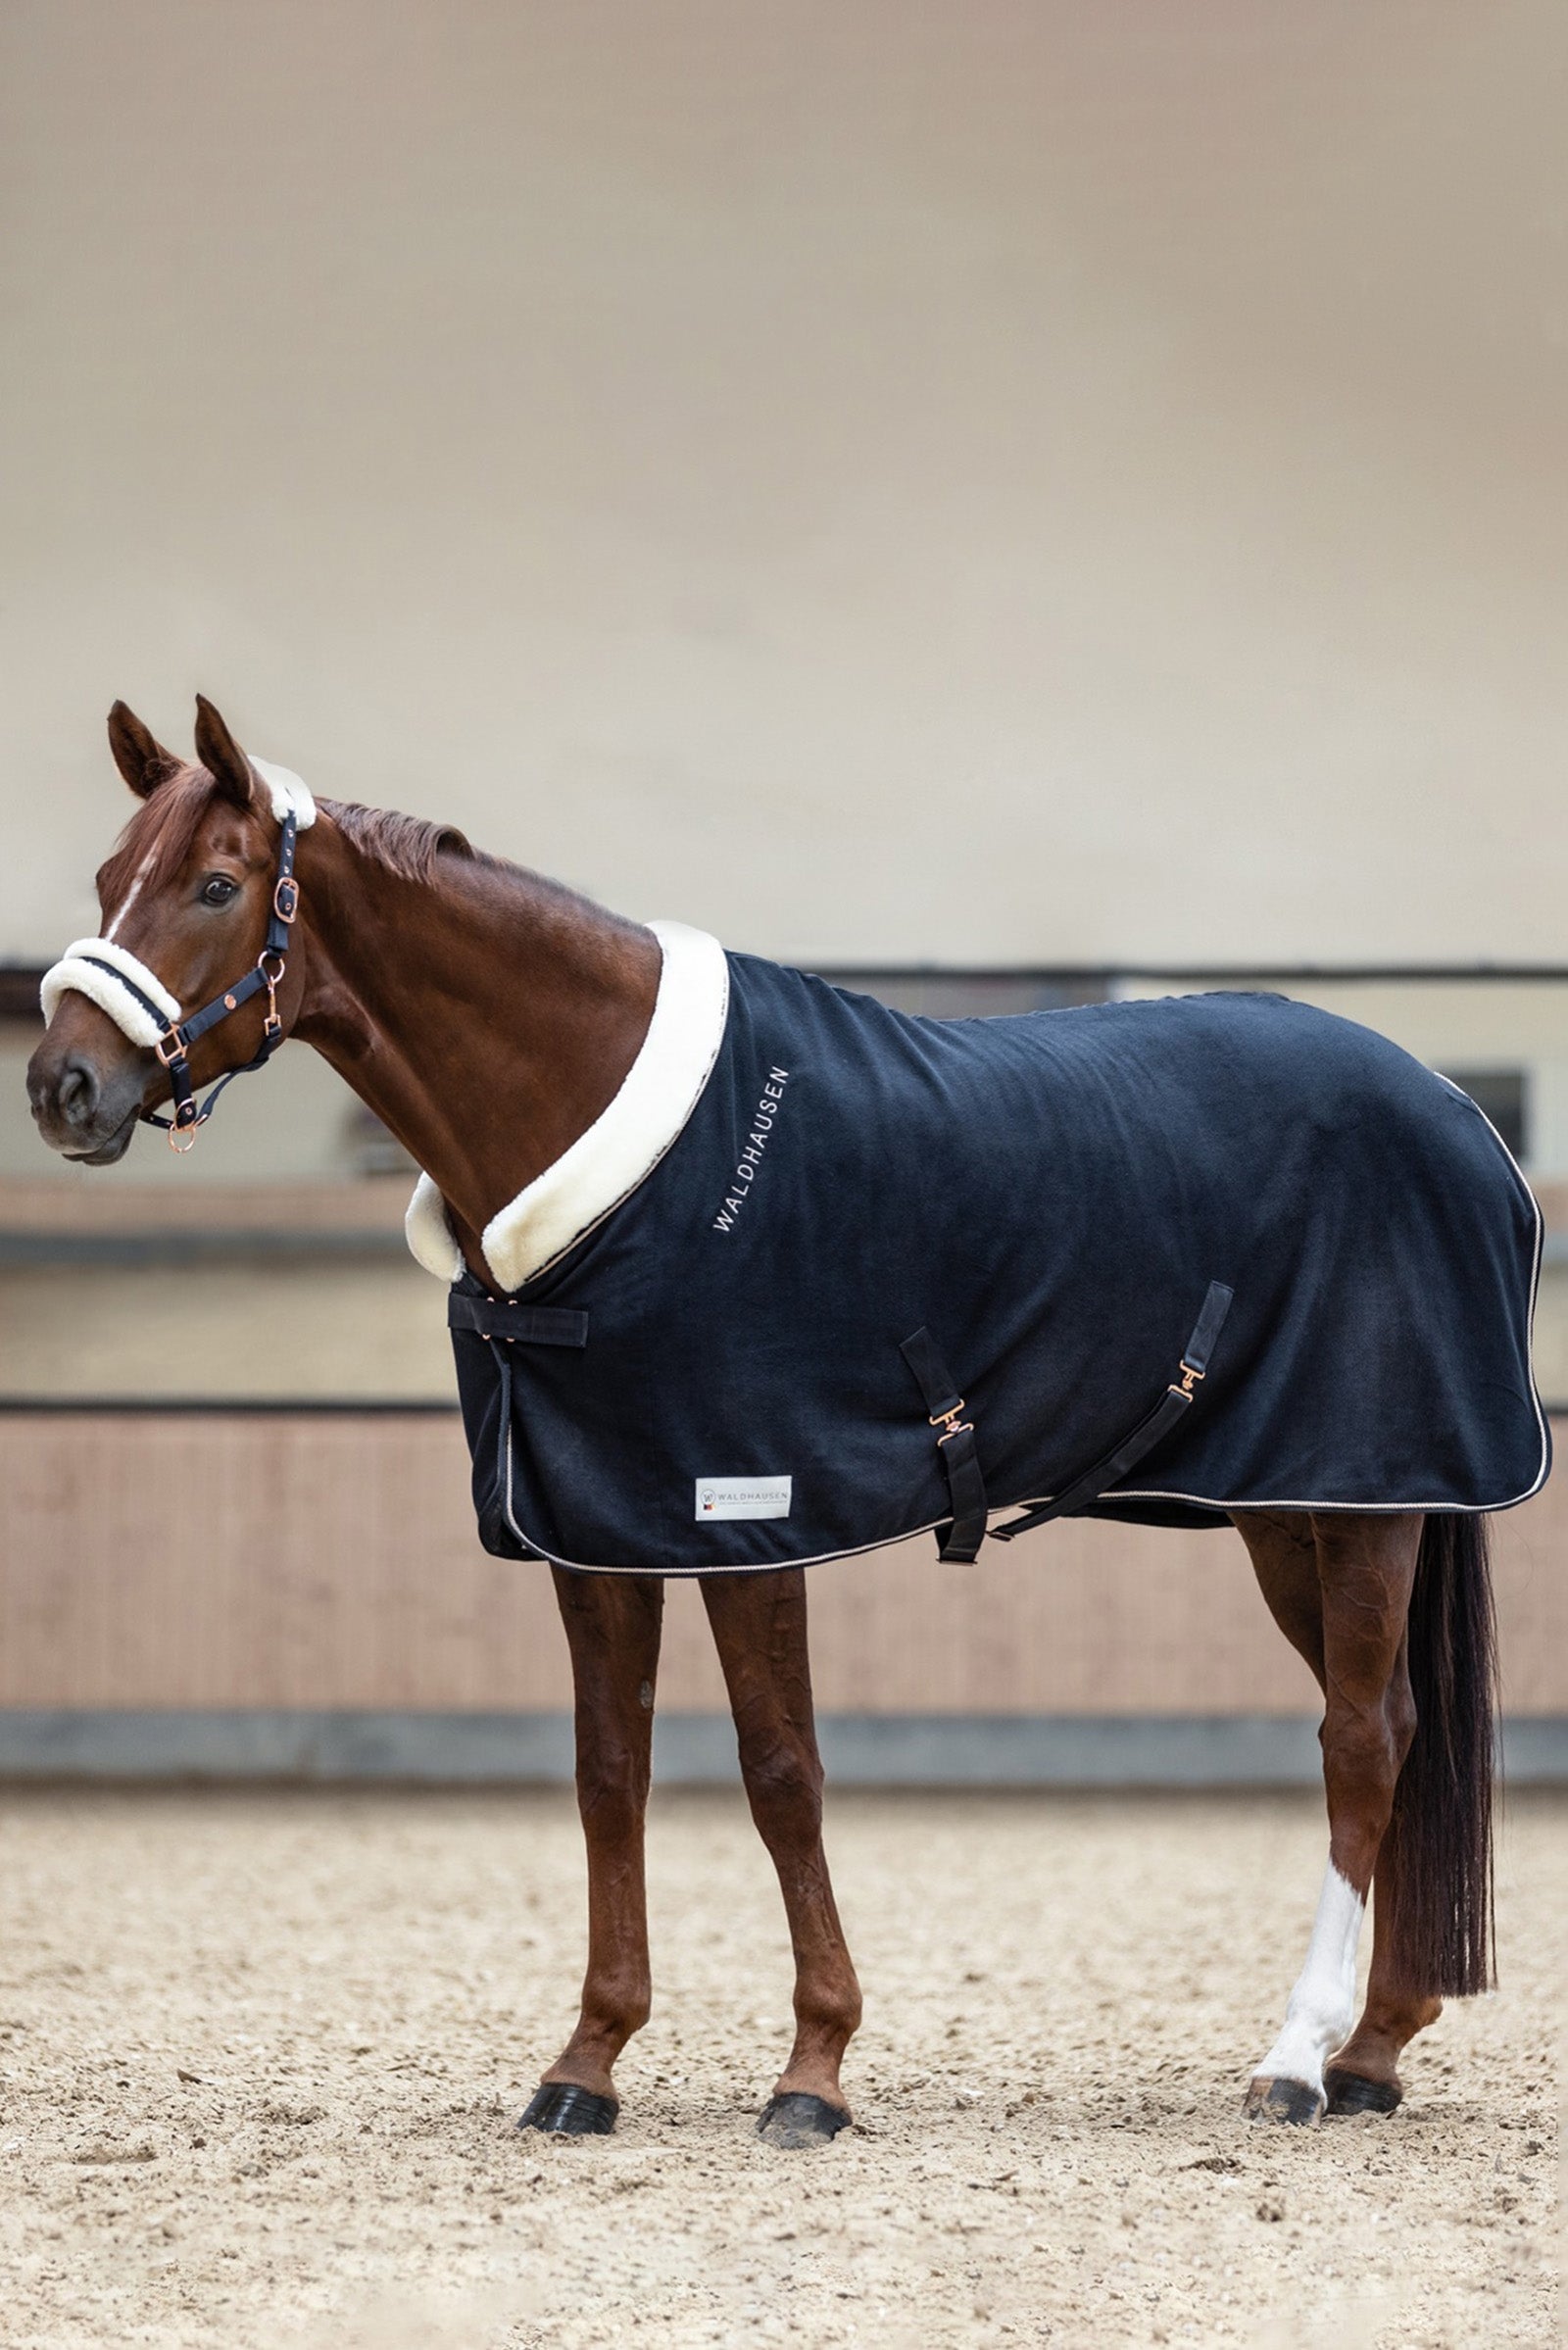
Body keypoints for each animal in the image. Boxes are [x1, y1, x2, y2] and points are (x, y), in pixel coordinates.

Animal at [27, 695, 1538, 2149]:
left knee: (1359, 1738)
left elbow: (780, 1773)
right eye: (106, 877)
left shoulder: (747, 1510)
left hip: (1362, 1495)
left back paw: (1296, 2060)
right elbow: (609, 1772)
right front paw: (586, 2064)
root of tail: (1453, 1110)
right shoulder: (600, 1526)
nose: (62, 1088)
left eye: (217, 883)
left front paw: (813, 2069)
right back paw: (1372, 2050)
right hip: (1294, 1510)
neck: (633, 1156)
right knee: (1397, 1723)